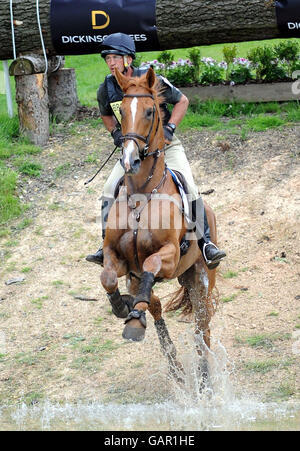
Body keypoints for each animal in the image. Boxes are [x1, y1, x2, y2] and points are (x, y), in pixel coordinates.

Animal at [100, 68, 218, 384]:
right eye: (121, 111)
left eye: (151, 111)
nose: (129, 159)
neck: (142, 195)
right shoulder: (119, 259)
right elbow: (107, 277)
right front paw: (122, 307)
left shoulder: (170, 254)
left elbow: (152, 262)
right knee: (154, 306)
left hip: (201, 275)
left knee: (202, 324)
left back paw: (204, 377)